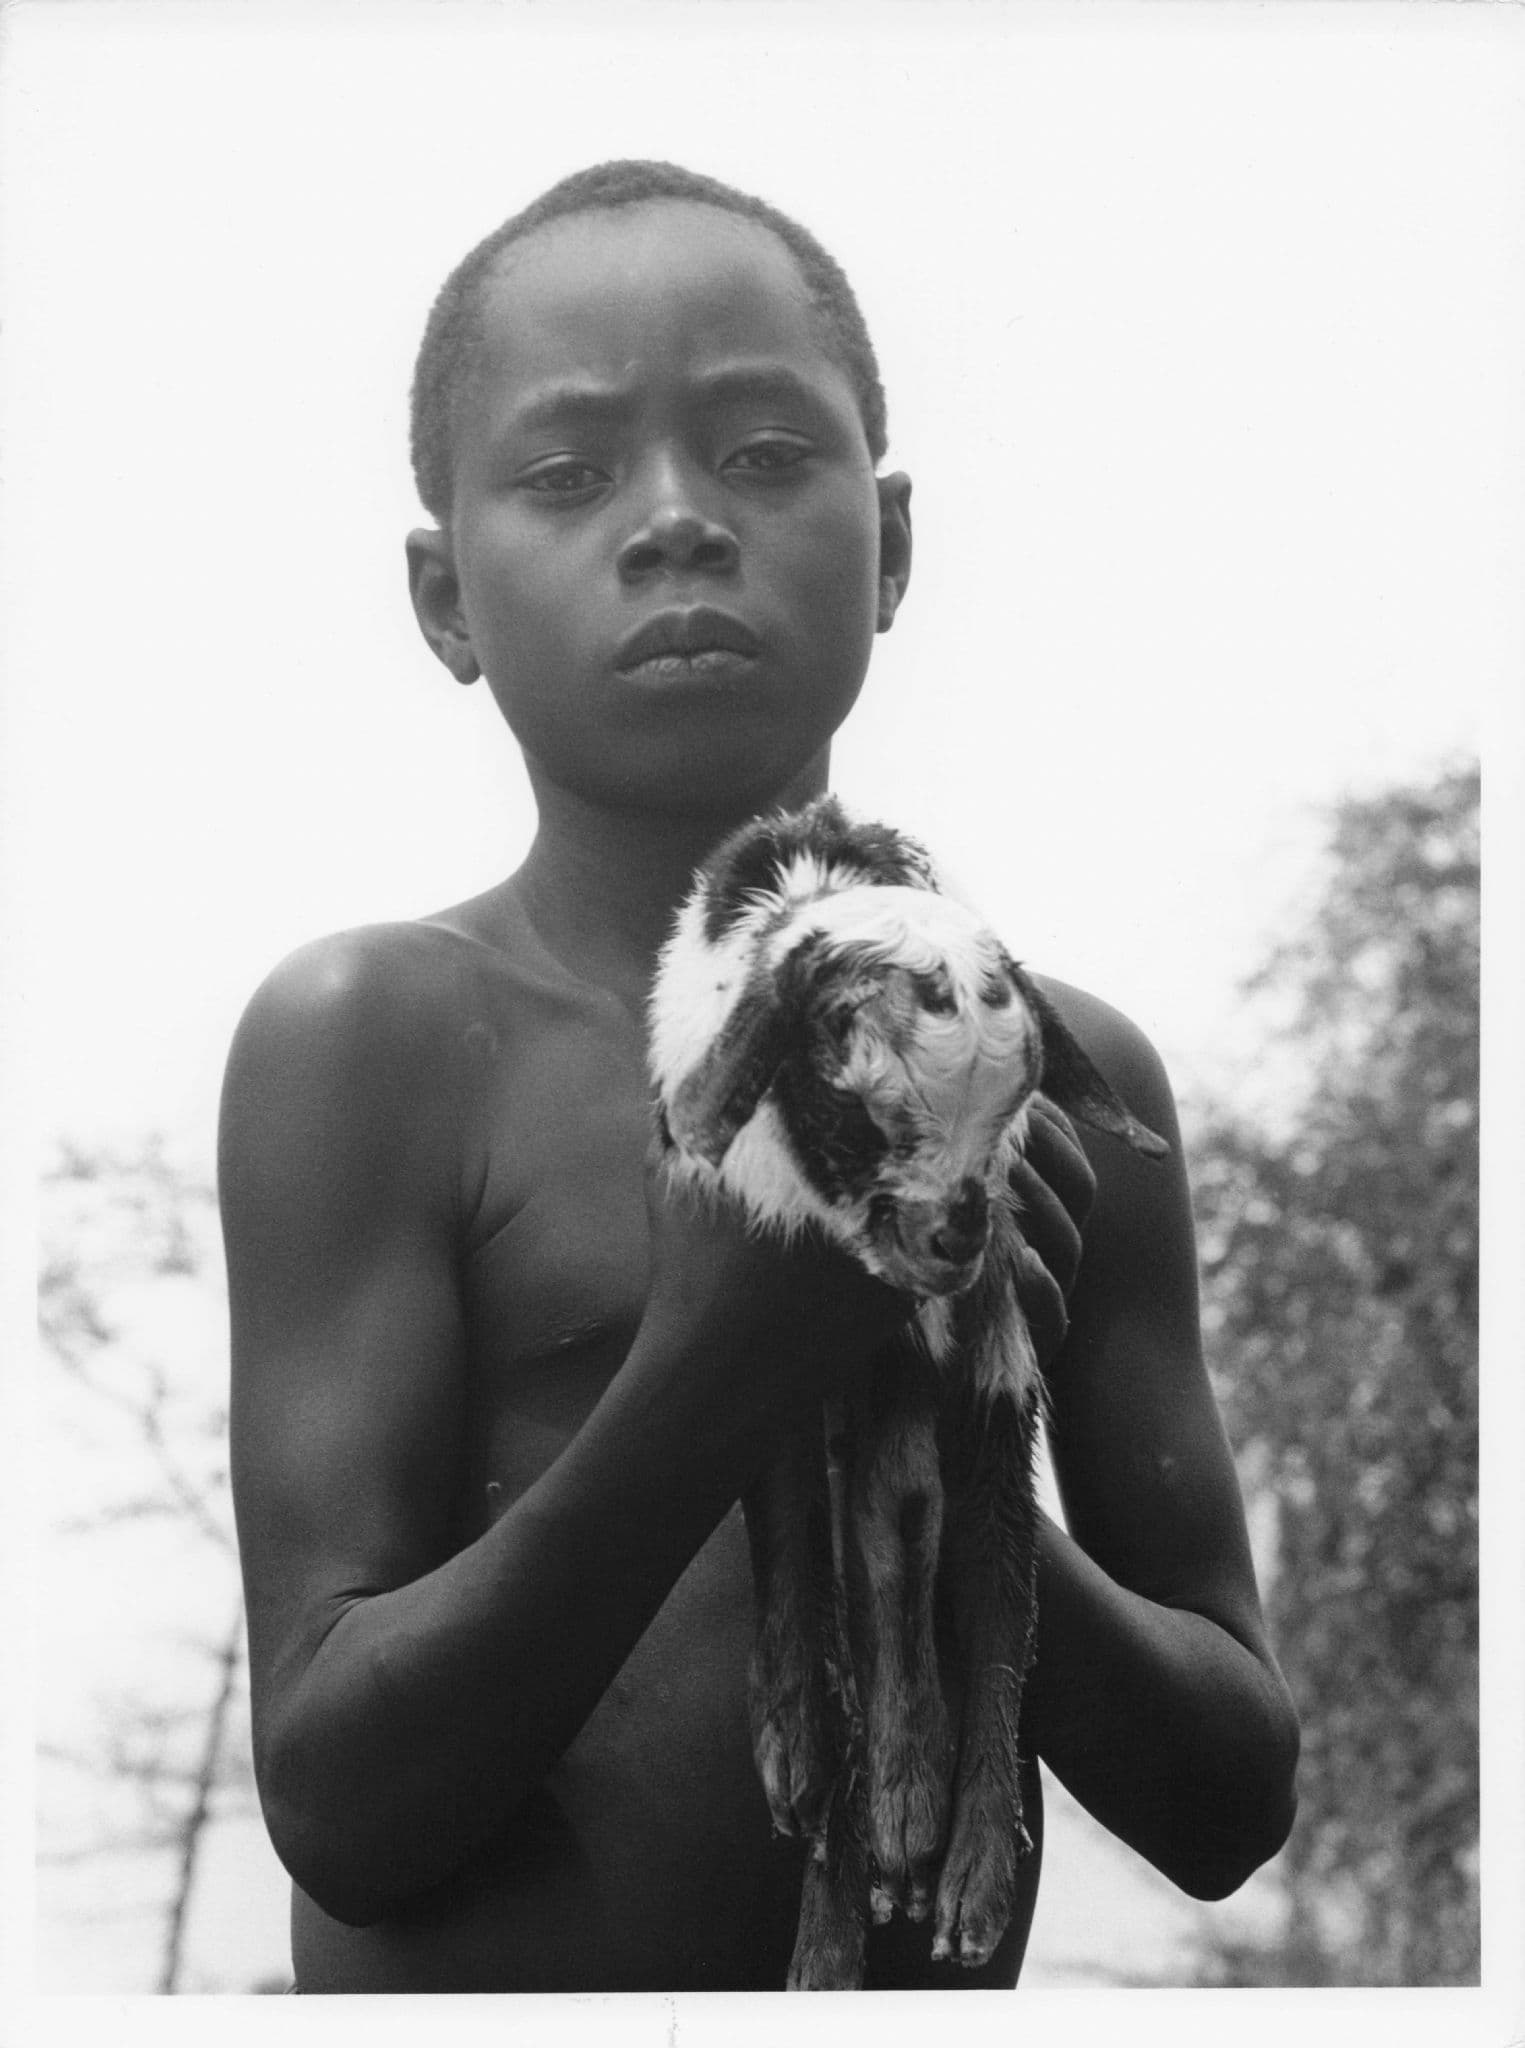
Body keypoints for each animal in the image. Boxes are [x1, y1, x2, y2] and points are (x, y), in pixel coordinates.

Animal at [647, 796, 1168, 1989]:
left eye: (1015, 1107)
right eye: (859, 1111)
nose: (961, 1239)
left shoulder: (957, 1357)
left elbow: (929, 1567)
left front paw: (909, 1816)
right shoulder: (757, 1377)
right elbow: (787, 1534)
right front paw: (788, 1745)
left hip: (988, 1403)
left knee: (988, 1589)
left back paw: (951, 1871)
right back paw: (848, 1889)